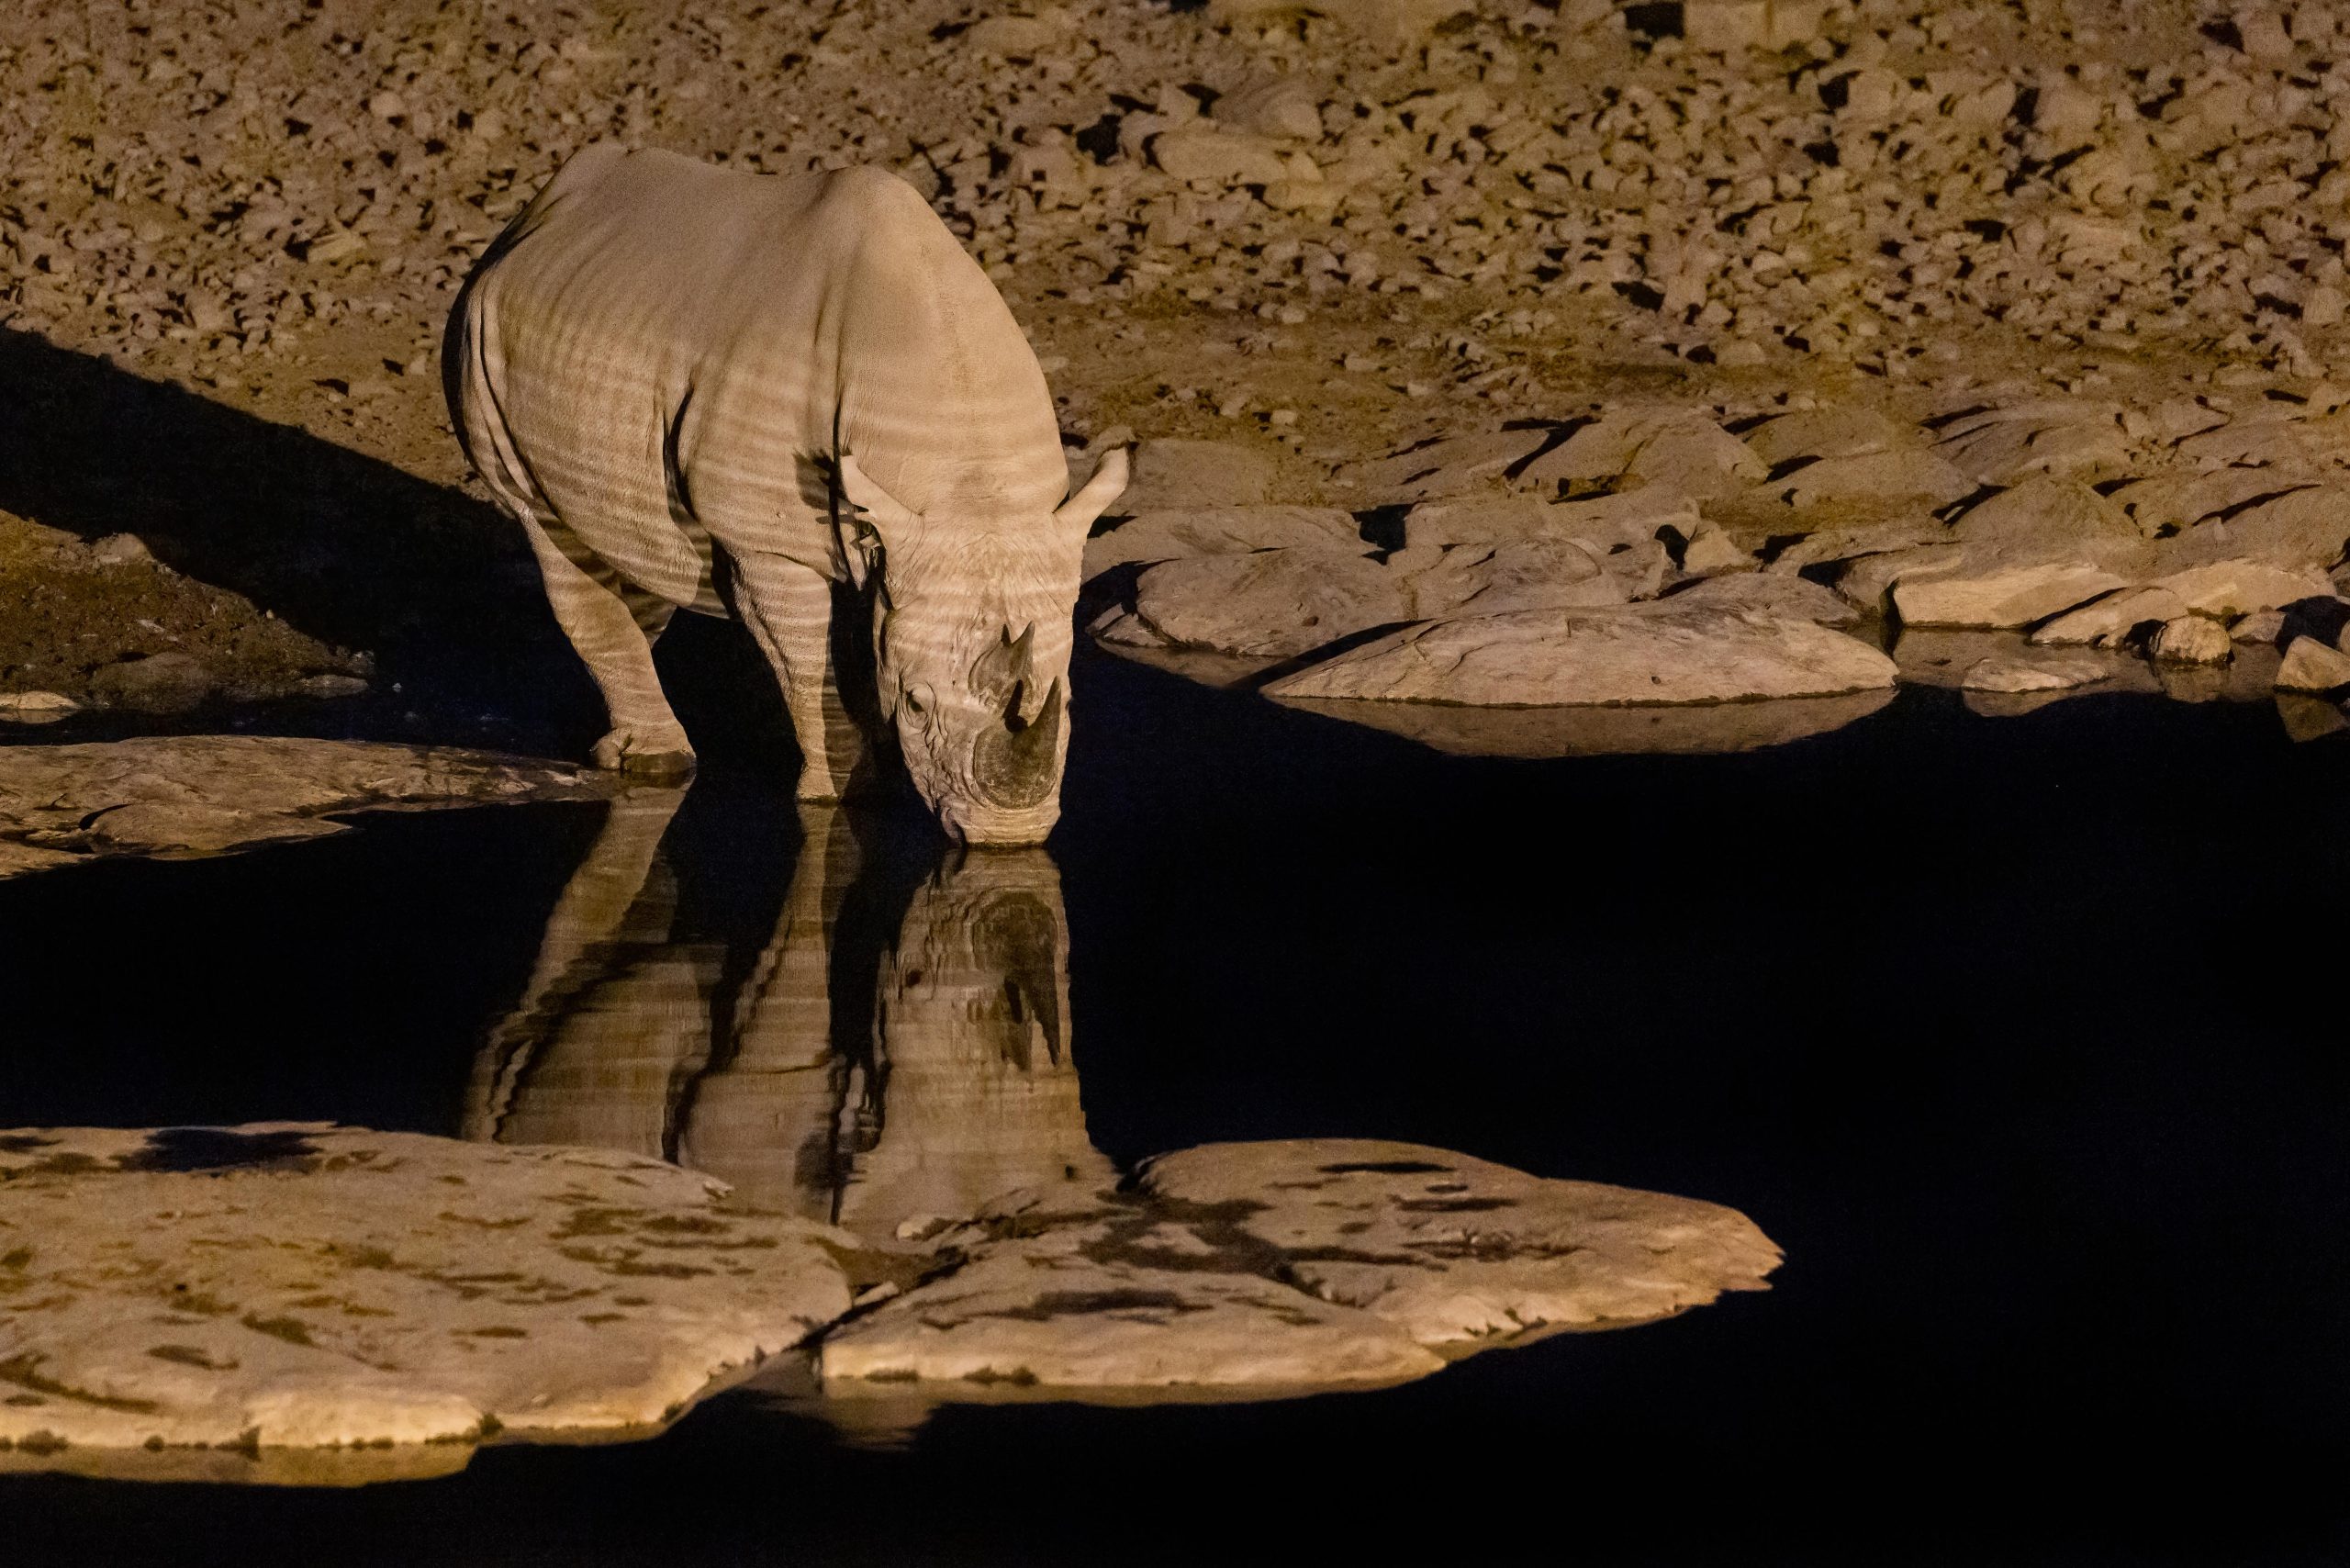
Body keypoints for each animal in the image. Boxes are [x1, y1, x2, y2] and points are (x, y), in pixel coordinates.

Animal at [444, 144, 1128, 844]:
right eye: (915, 704)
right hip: (478, 339)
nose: (1006, 837)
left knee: (631, 539)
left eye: (1070, 696)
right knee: (546, 526)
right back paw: (657, 765)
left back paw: (615, 748)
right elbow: (807, 663)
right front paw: (844, 797)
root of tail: (538, 212)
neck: (966, 486)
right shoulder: (766, 541)